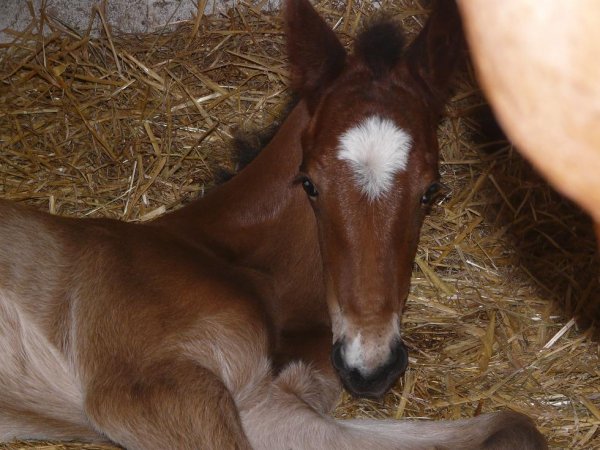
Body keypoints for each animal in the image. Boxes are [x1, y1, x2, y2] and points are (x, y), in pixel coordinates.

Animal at [0, 0, 548, 448]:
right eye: (310, 184)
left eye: (431, 190)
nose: (369, 367)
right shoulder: (154, 389)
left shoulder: (265, 405)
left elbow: (514, 427)